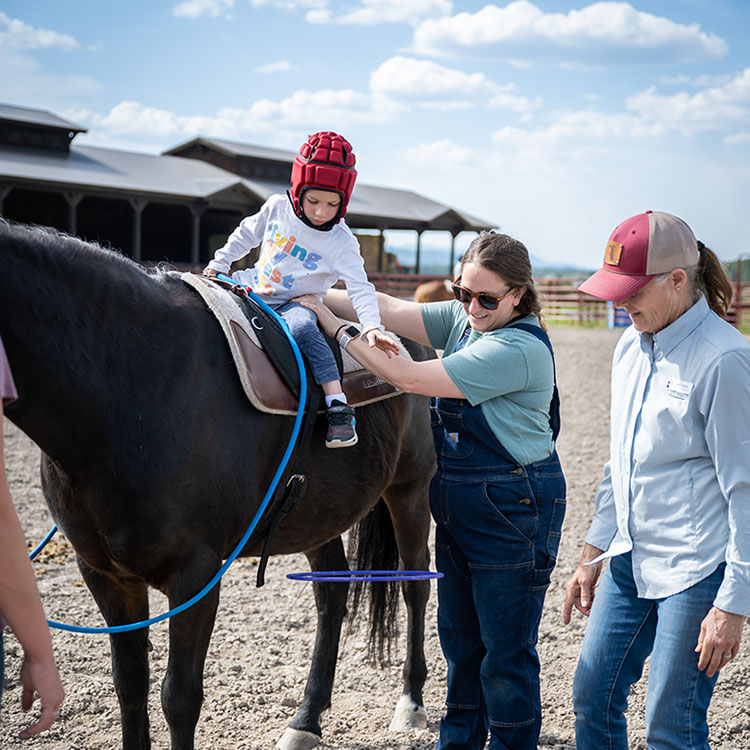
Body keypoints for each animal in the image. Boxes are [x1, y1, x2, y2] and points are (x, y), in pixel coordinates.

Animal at [0, 223, 434, 750]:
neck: (131, 386)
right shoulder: (105, 574)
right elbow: (130, 685)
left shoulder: (196, 573)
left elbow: (179, 698)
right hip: (317, 513)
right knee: (331, 597)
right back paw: (306, 720)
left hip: (410, 490)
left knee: (415, 583)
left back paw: (410, 703)